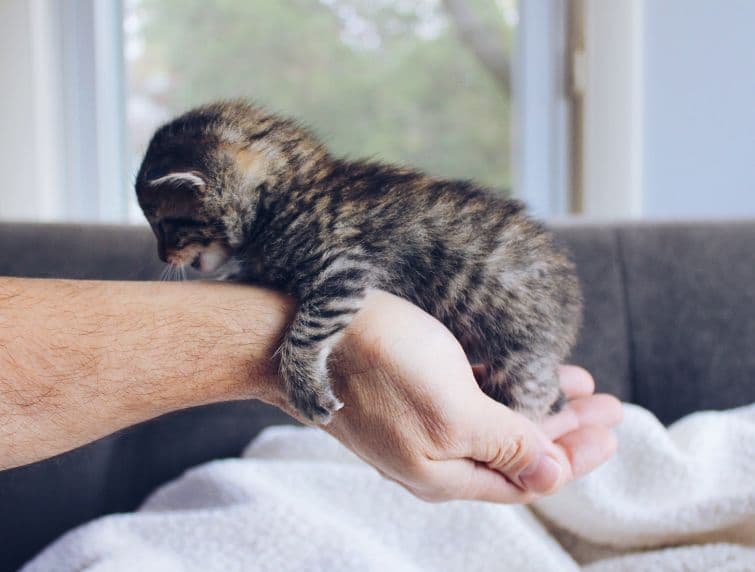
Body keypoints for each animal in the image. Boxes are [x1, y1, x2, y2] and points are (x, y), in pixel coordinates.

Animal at [137, 100, 584, 424]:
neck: (287, 194)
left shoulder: (342, 266)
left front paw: (304, 384)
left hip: (523, 353)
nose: (161, 255)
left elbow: (307, 328)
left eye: (163, 224)